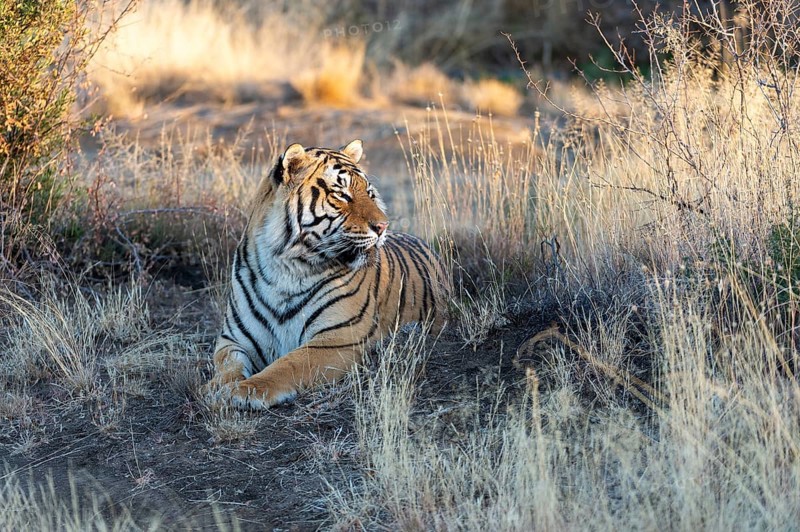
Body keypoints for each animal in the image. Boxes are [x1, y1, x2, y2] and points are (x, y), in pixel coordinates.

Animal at [206, 139, 449, 409]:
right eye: (342, 195)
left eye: (370, 193)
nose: (383, 226)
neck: (284, 268)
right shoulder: (233, 339)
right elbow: (228, 365)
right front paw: (216, 387)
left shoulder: (337, 338)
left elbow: (288, 364)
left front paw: (245, 390)